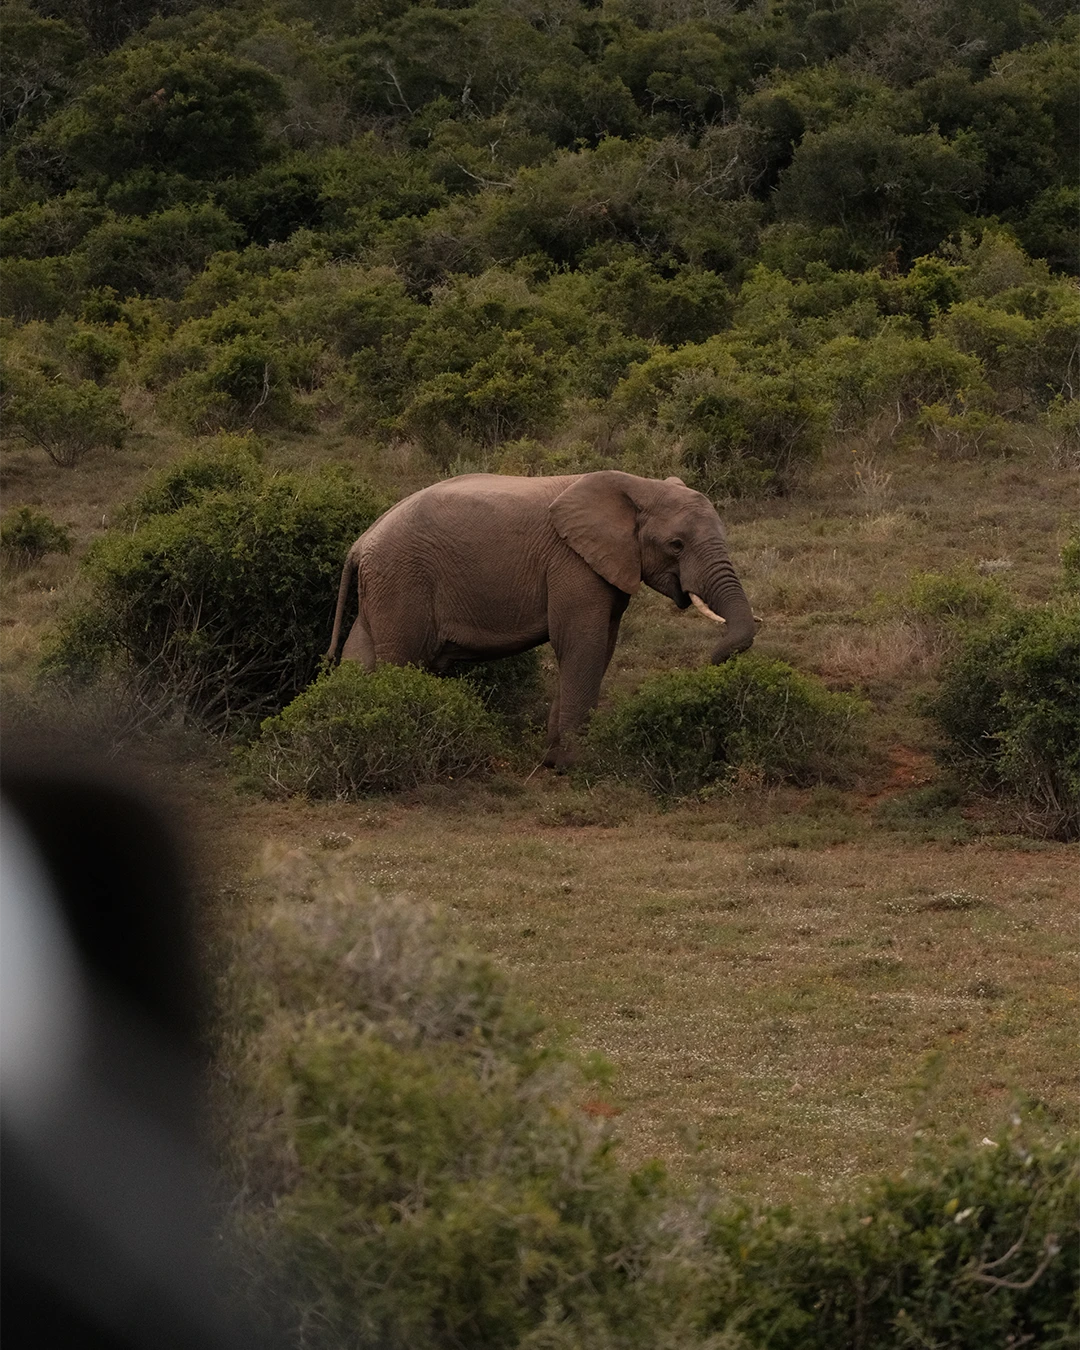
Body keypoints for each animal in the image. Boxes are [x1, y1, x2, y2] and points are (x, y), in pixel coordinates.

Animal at [326, 470, 756, 767]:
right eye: (676, 545)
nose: (711, 667)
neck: (638, 485)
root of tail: (361, 542)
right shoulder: (572, 563)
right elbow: (581, 645)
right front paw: (575, 765)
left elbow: (600, 646)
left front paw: (552, 760)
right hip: (402, 581)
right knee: (401, 660)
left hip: (382, 587)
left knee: (358, 660)